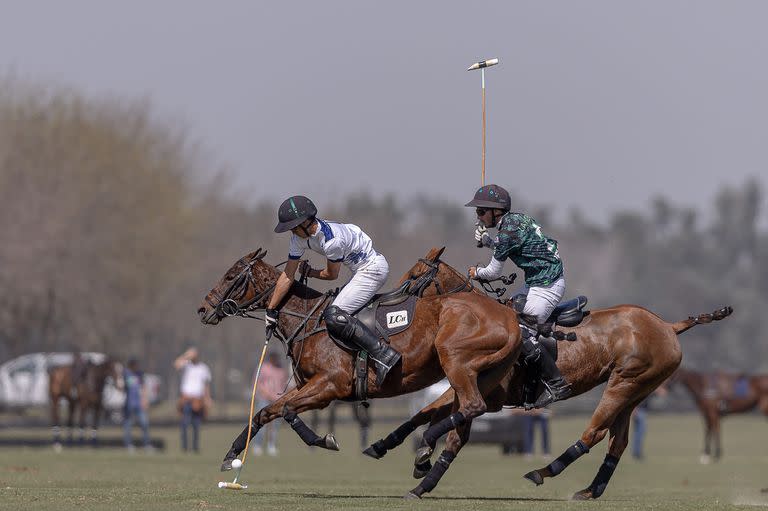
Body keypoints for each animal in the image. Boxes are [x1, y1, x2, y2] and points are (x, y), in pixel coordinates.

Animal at [198, 250, 520, 498]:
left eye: (231, 276)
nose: (203, 309)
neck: (309, 320)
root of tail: (511, 319)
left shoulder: (331, 385)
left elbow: (288, 409)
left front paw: (325, 440)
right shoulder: (309, 384)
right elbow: (265, 412)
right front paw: (230, 457)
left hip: (456, 364)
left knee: (470, 407)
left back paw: (420, 449)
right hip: (476, 377)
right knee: (459, 423)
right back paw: (412, 458)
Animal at [366, 248, 732, 500]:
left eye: (414, 275)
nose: (383, 303)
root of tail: (669, 326)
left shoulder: (487, 396)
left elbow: (451, 433)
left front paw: (424, 461)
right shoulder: (463, 389)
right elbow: (425, 416)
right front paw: (388, 449)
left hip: (624, 383)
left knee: (594, 433)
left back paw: (544, 472)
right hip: (636, 390)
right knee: (618, 440)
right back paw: (589, 490)